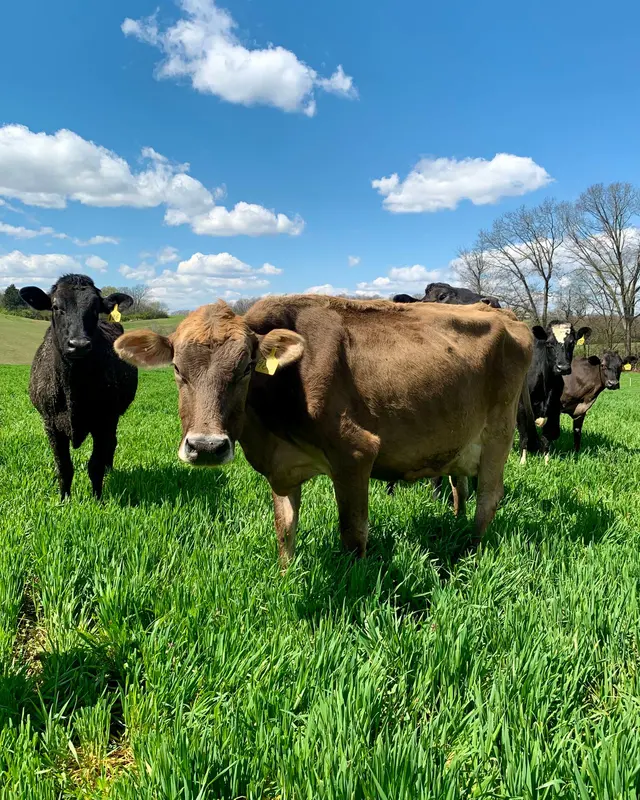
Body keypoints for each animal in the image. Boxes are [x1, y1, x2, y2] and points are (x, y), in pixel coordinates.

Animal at [19, 274, 138, 499]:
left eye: (95, 308)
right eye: (56, 306)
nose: (79, 344)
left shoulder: (105, 420)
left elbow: (95, 465)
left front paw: (98, 500)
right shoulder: (50, 423)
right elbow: (64, 467)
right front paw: (64, 500)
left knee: (112, 443)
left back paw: (110, 470)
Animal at [115, 295, 533, 565]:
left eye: (247, 367)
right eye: (176, 368)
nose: (206, 447)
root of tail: (507, 315)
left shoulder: (356, 453)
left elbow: (353, 532)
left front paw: (355, 583)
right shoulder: (282, 469)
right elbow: (284, 529)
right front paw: (285, 577)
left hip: (499, 432)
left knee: (488, 497)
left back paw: (471, 552)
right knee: (460, 486)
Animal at [516, 320, 591, 464]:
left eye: (572, 343)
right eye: (549, 343)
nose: (563, 368)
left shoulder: (554, 408)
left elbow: (548, 435)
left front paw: (546, 462)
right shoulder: (522, 407)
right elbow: (524, 436)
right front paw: (523, 462)